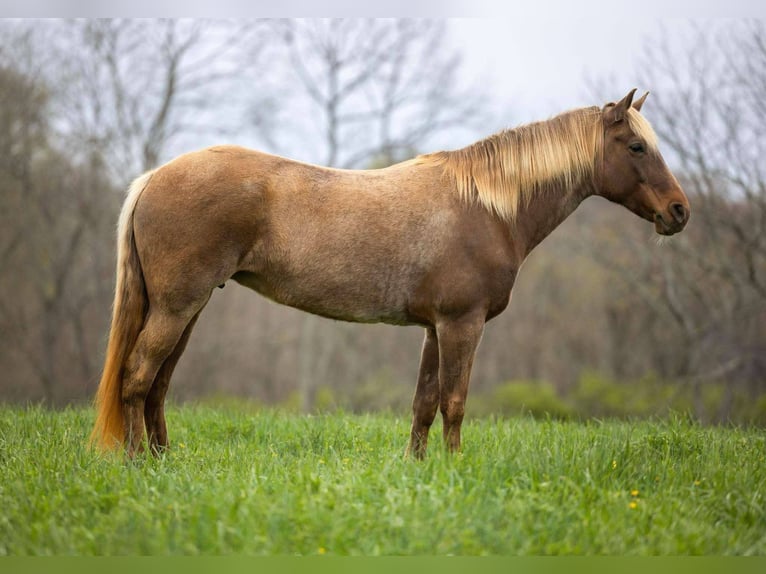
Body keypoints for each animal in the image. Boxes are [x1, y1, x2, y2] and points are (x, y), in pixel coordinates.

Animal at [90, 89, 690, 458]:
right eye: (637, 146)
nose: (679, 212)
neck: (489, 206)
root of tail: (153, 177)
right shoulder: (462, 324)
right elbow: (454, 402)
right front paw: (453, 470)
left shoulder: (433, 329)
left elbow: (424, 403)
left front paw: (419, 470)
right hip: (178, 307)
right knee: (138, 378)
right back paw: (141, 463)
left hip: (188, 309)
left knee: (157, 384)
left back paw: (164, 461)